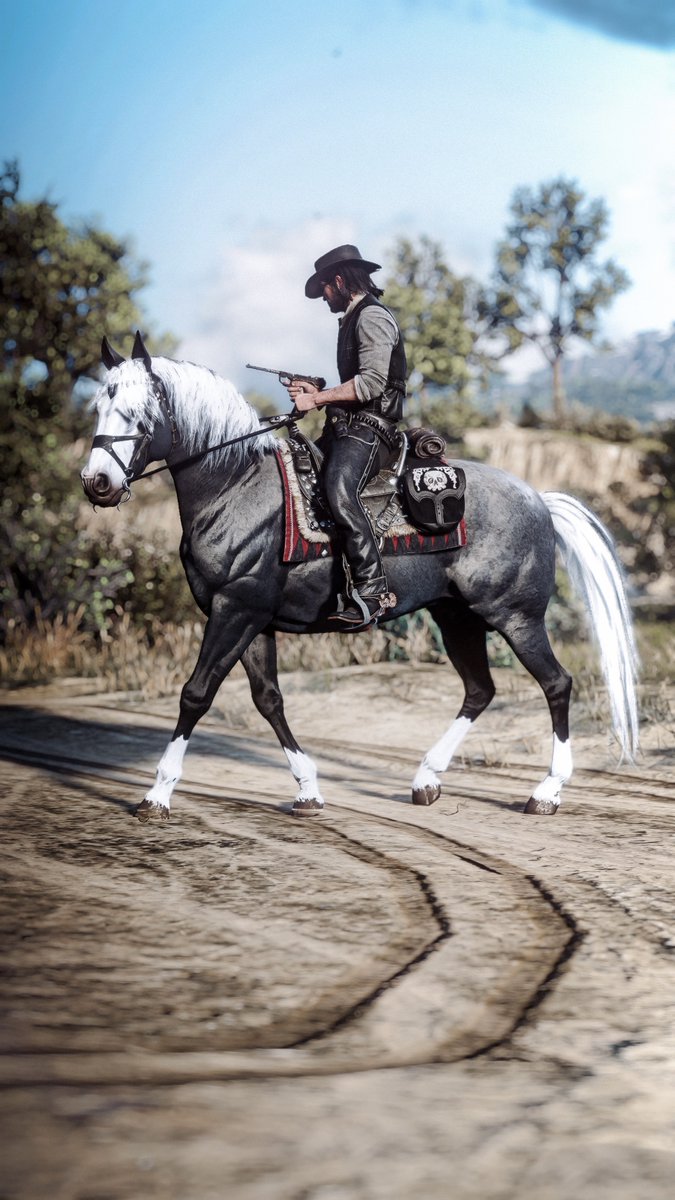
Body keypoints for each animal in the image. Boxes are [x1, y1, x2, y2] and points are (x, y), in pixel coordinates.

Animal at [79, 338, 634, 825]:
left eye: (139, 413)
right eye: (99, 407)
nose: (97, 484)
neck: (234, 488)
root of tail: (539, 499)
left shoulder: (235, 610)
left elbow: (197, 693)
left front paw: (157, 794)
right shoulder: (253, 618)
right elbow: (269, 699)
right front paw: (307, 789)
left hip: (515, 618)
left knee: (556, 683)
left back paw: (546, 792)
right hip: (456, 617)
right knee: (480, 689)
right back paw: (426, 779)